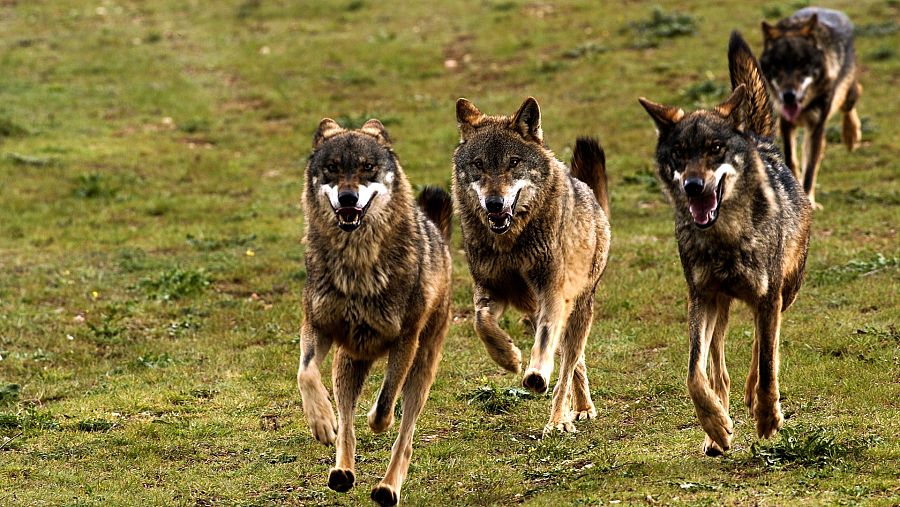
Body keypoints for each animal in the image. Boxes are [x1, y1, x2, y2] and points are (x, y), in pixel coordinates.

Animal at [296, 118, 452, 506]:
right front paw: (320, 422)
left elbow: (383, 407)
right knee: (346, 426)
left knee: (405, 437)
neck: (358, 264)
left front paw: (376, 419)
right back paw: (342, 471)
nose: (348, 198)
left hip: (422, 369)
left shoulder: (405, 341)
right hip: (347, 364)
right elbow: (306, 374)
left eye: (367, 168)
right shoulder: (317, 326)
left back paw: (387, 487)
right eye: (332, 169)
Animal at [452, 97, 611, 435]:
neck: (511, 244)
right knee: (574, 362)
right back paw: (578, 408)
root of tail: (589, 193)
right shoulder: (490, 289)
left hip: (578, 308)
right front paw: (508, 358)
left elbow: (547, 342)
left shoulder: (551, 292)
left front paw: (536, 376)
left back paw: (562, 419)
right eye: (479, 164)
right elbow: (481, 322)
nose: (494, 204)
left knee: (567, 367)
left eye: (513, 162)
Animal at [639, 32, 812, 456]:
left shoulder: (768, 298)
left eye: (715, 149)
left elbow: (767, 361)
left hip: (784, 292)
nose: (693, 186)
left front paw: (767, 417)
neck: (726, 238)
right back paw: (718, 427)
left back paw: (752, 398)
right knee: (717, 364)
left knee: (765, 346)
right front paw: (716, 426)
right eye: (680, 154)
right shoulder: (700, 297)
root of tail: (760, 139)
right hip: (720, 306)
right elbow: (693, 373)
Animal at [760, 7, 862, 208]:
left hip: (847, 95)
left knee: (853, 98)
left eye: (803, 65)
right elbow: (792, 160)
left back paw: (851, 136)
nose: (788, 95)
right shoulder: (786, 123)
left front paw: (809, 201)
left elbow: (810, 170)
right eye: (778, 66)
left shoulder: (816, 126)